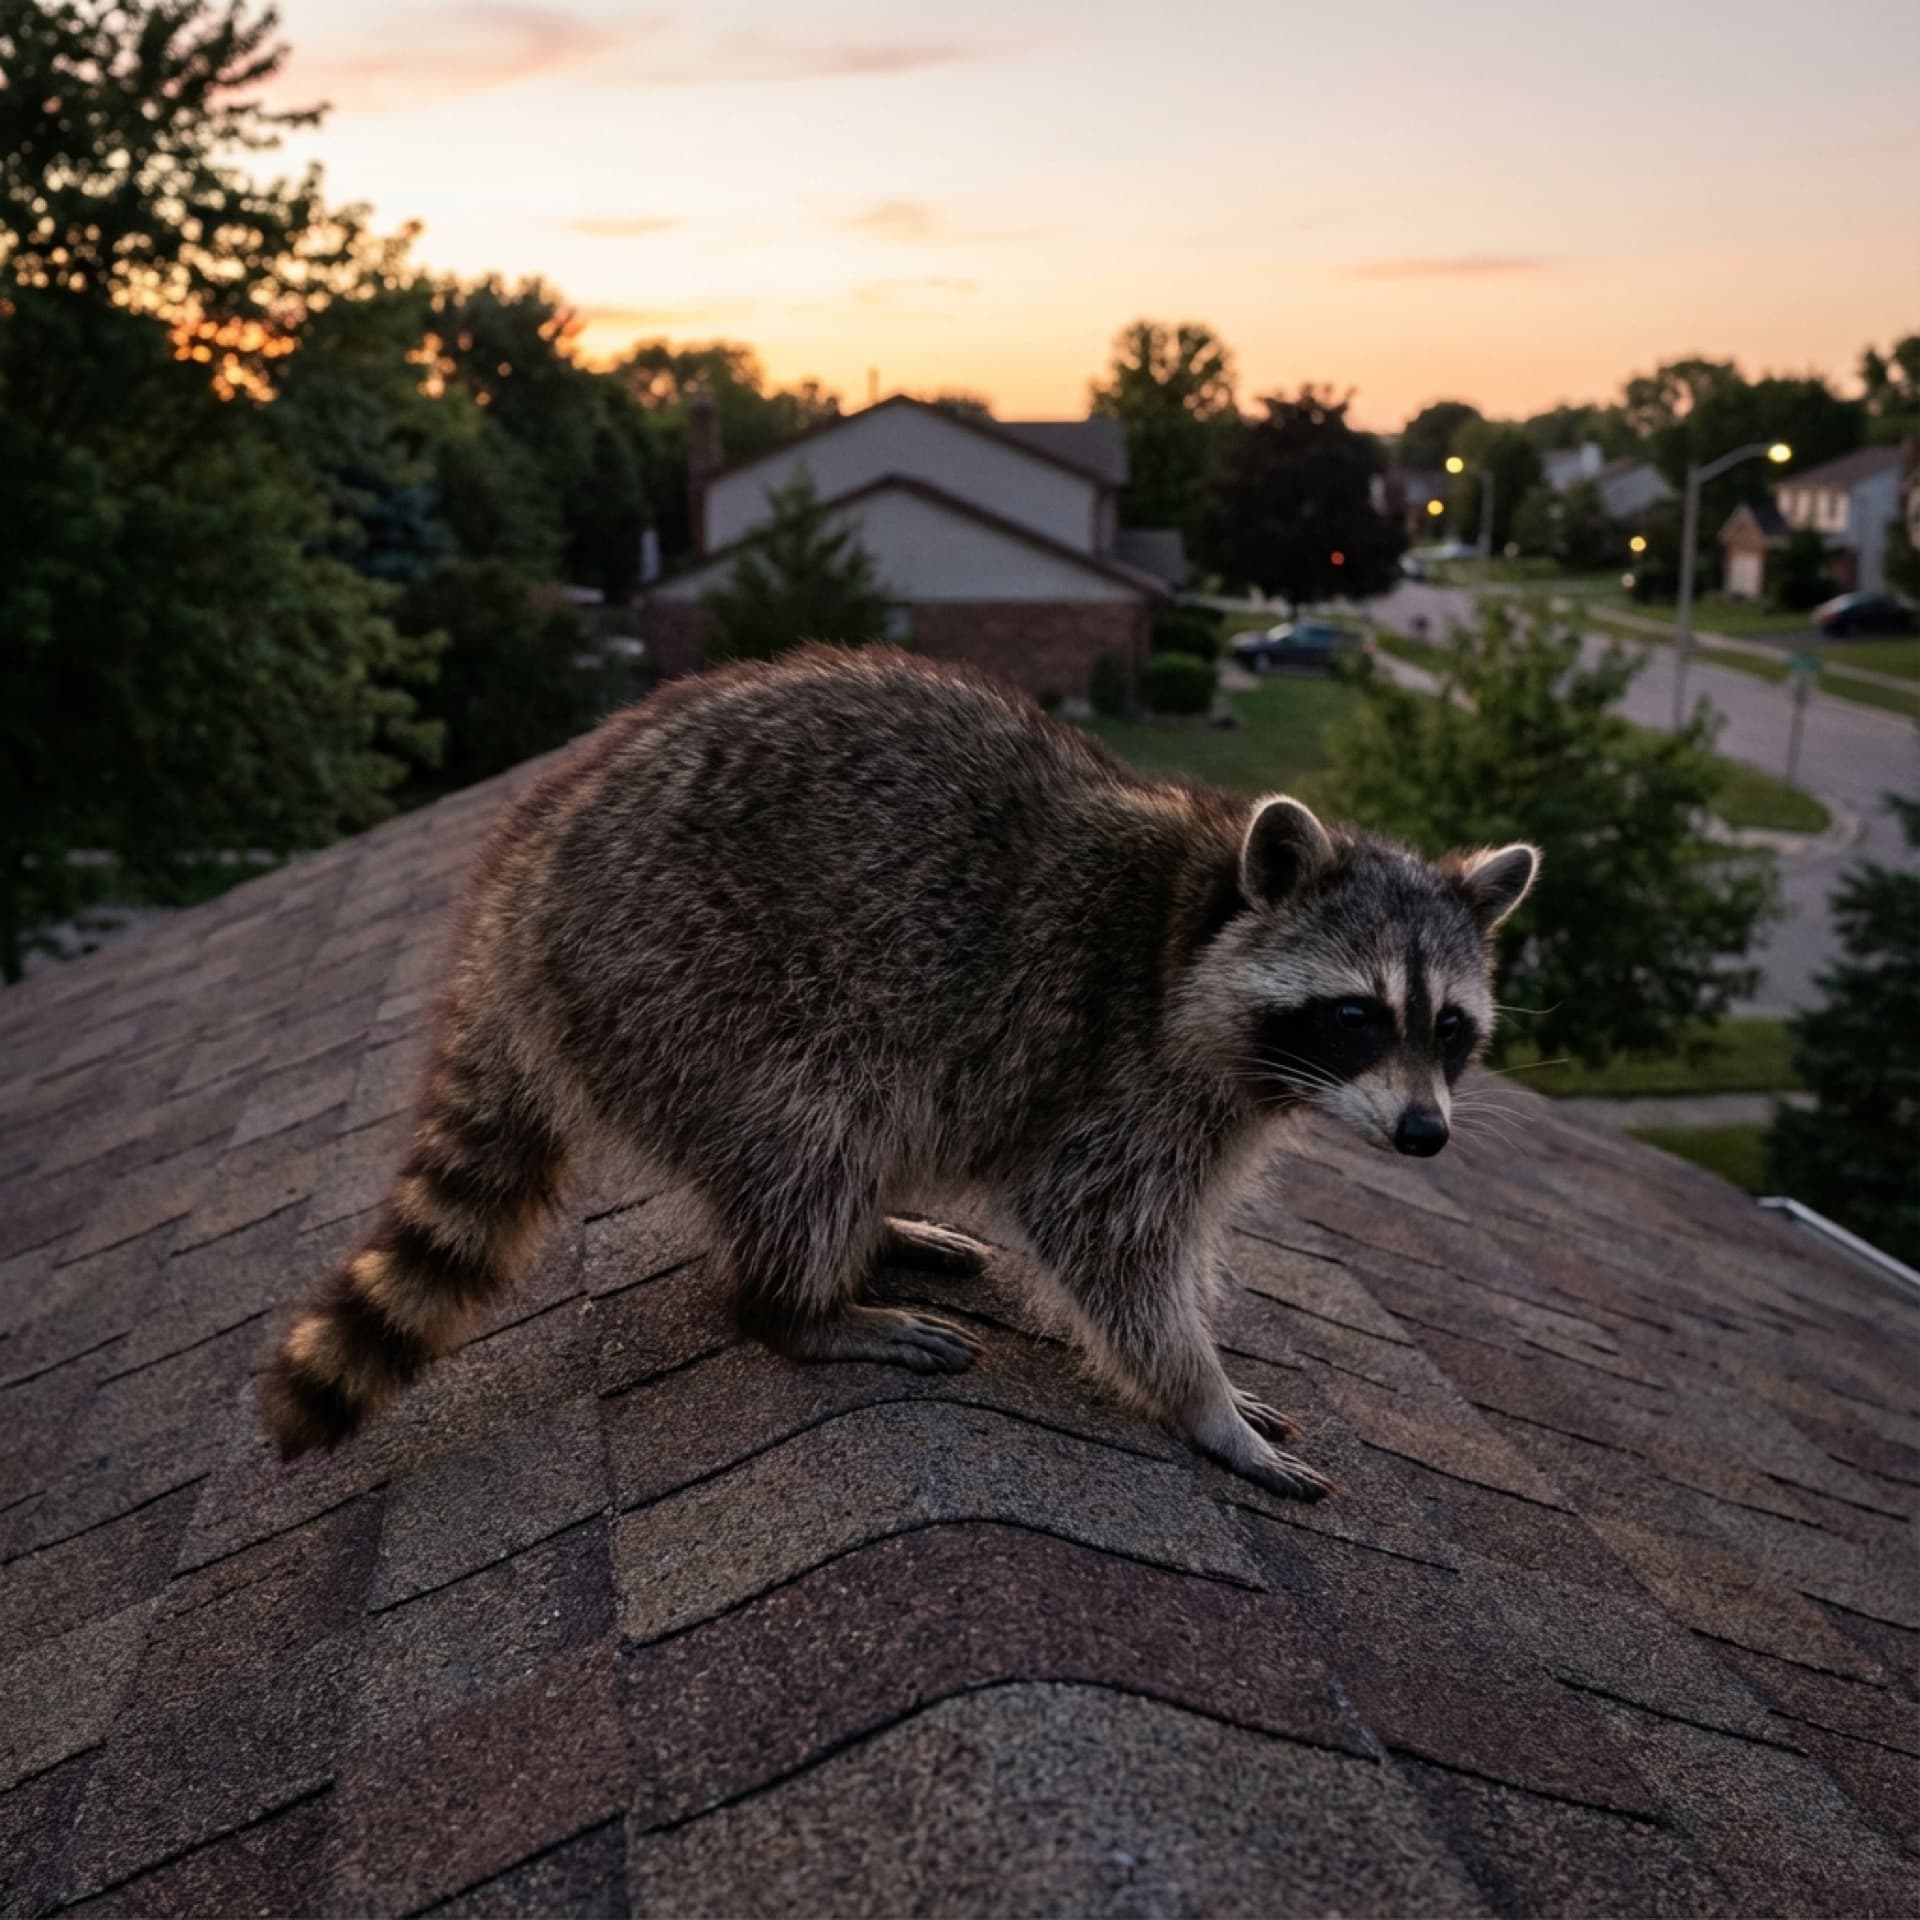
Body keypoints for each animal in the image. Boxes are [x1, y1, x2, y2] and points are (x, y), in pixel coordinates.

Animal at [260, 646, 1536, 1500]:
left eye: (1450, 1029)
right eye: (1357, 1016)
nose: (1424, 1134)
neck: (1197, 910)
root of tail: (514, 901)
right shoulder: (1123, 1070)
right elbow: (1107, 1239)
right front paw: (1201, 1401)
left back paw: (871, 1232)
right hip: (687, 979)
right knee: (813, 1127)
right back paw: (798, 1308)